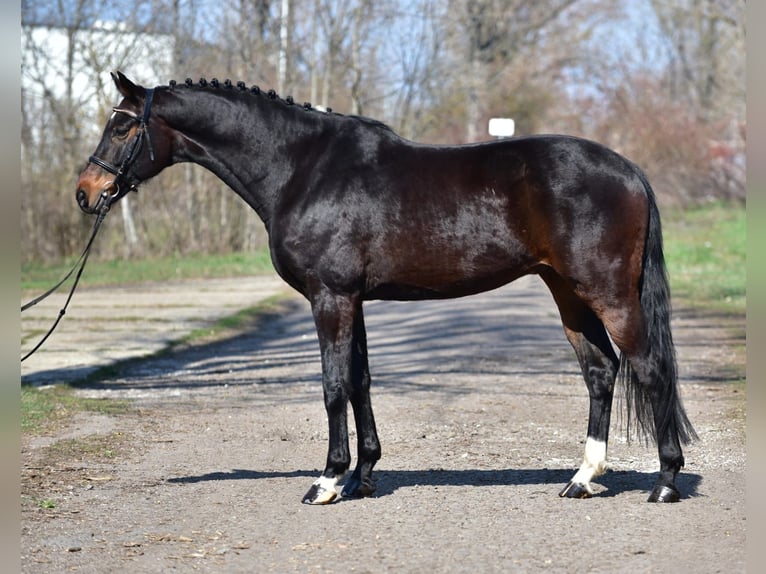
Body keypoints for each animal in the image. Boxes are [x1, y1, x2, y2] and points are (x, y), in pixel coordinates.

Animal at [76, 71, 697, 505]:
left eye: (123, 124)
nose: (86, 192)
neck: (302, 168)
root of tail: (629, 169)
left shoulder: (330, 297)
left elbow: (332, 386)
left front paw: (327, 481)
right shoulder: (353, 299)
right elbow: (360, 381)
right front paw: (364, 476)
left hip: (607, 292)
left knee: (648, 367)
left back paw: (665, 481)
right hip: (567, 291)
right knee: (600, 370)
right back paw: (582, 478)